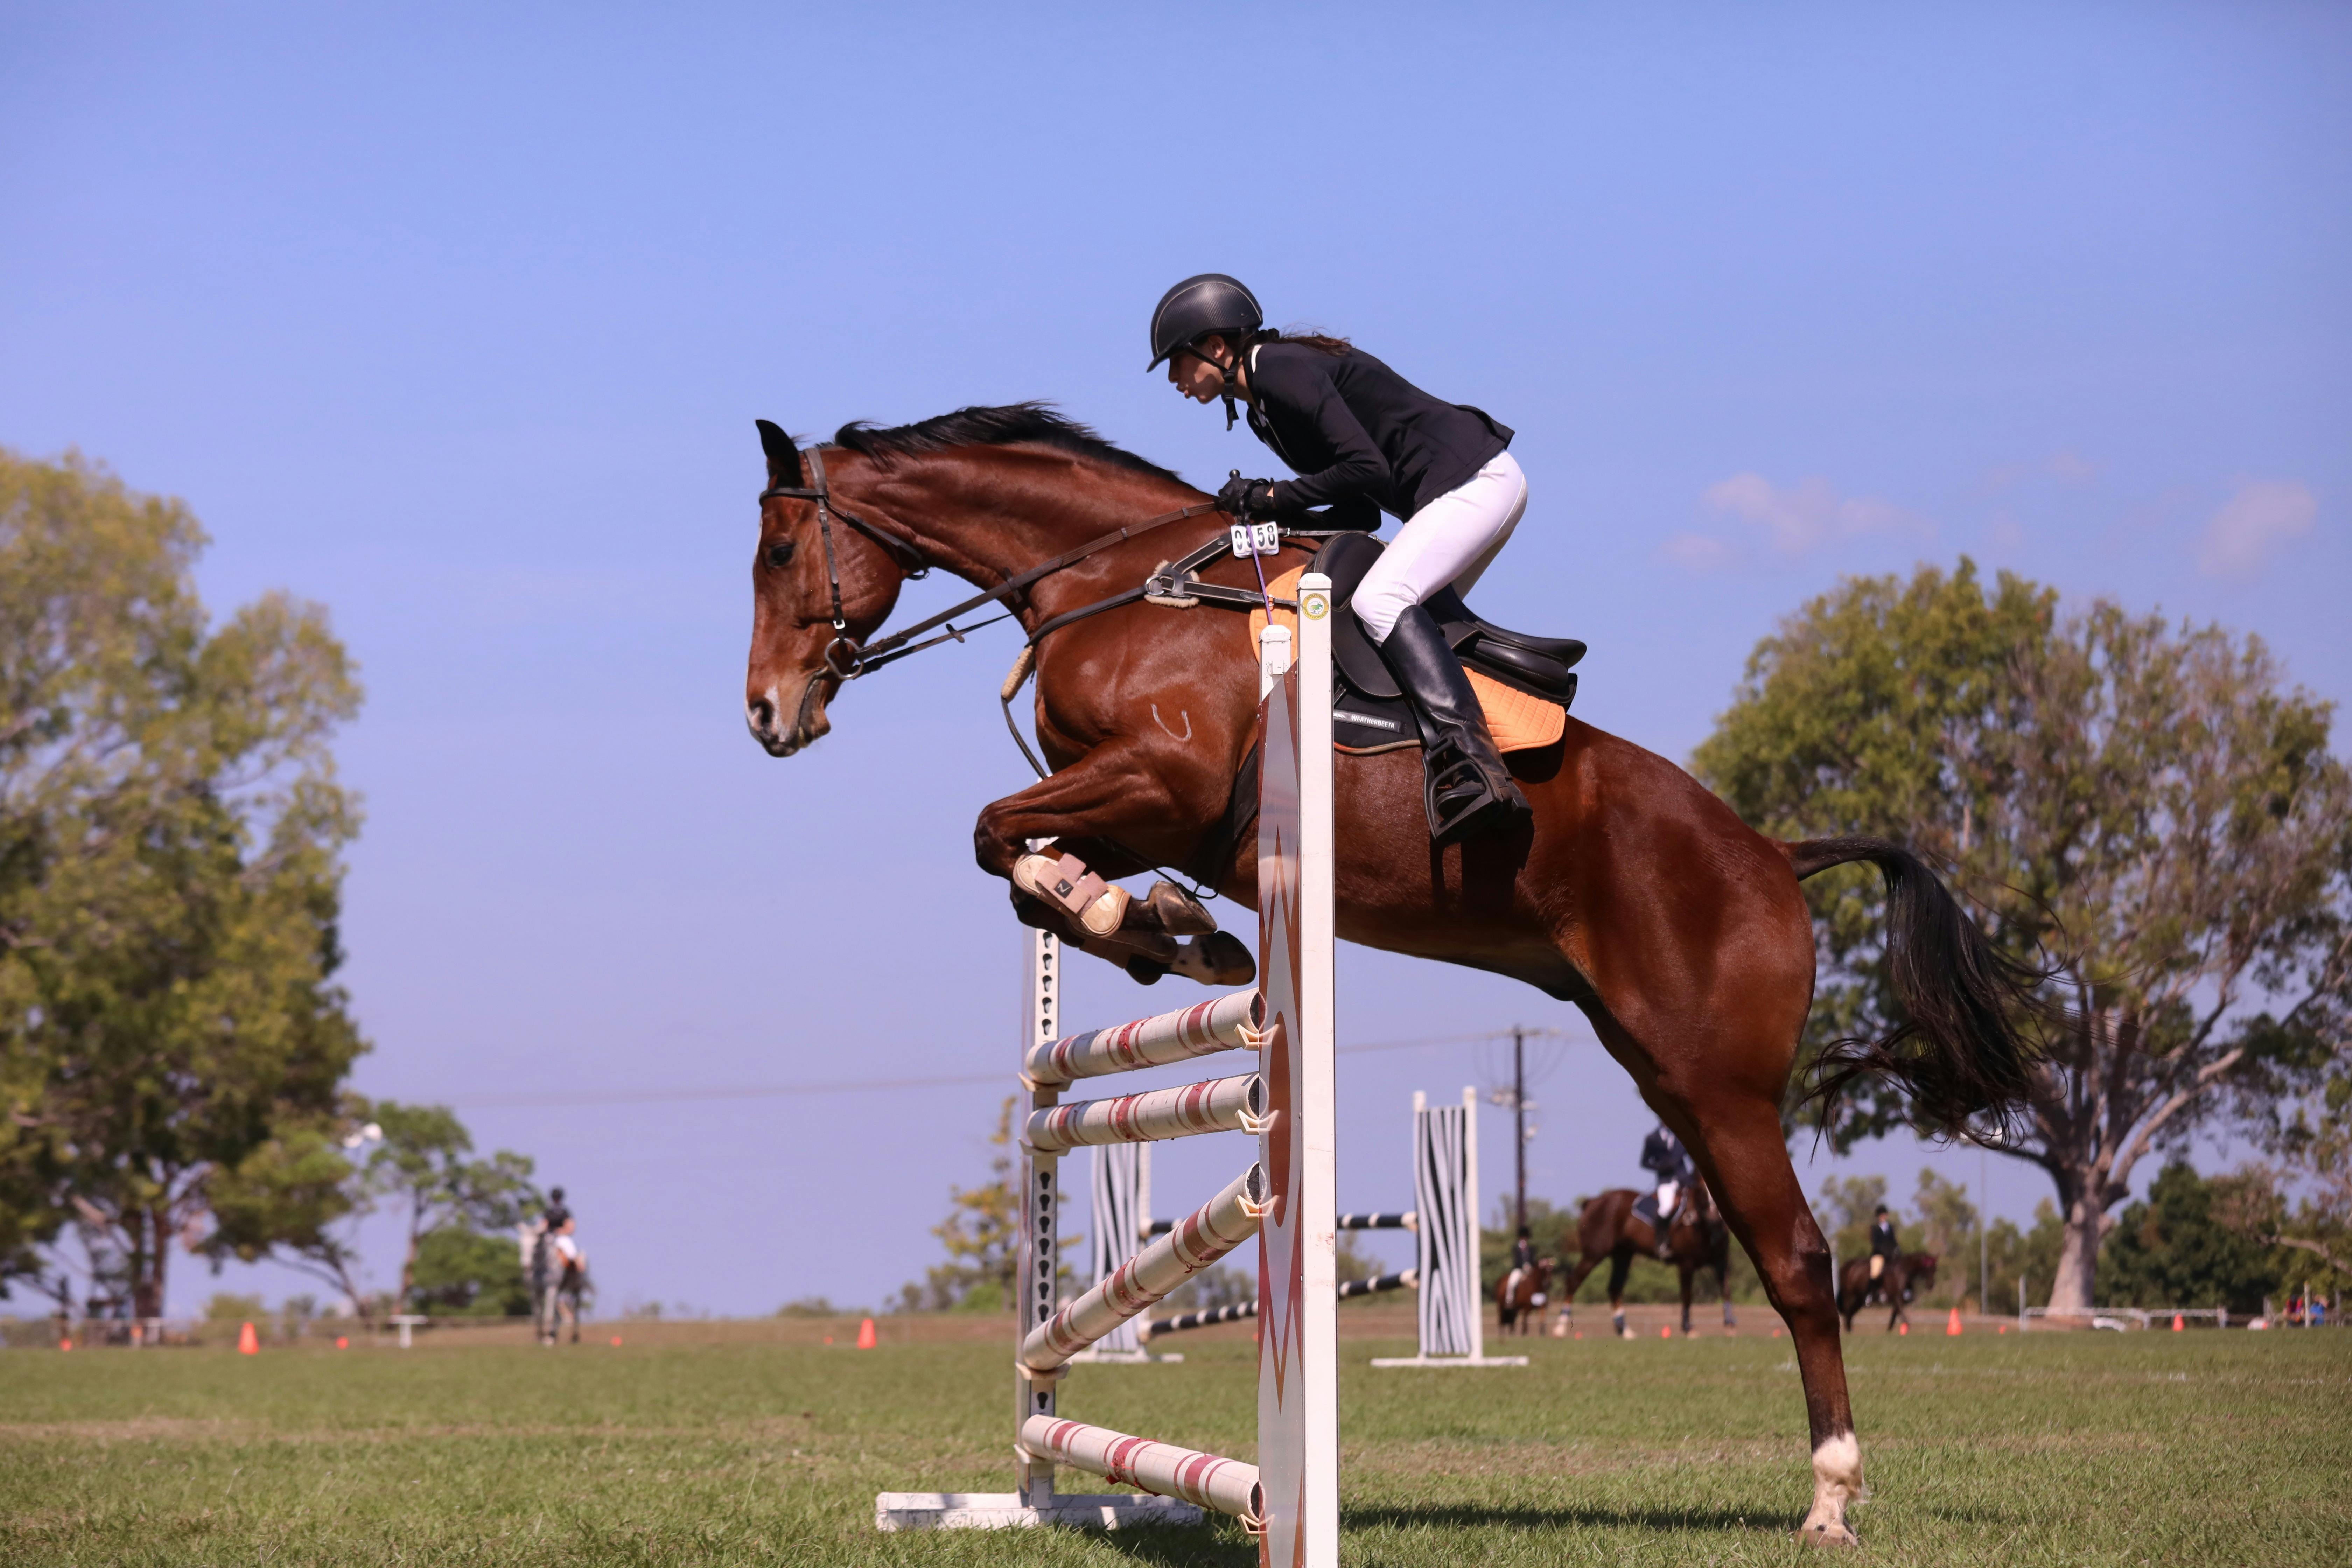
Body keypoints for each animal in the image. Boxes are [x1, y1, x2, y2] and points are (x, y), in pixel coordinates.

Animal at [1496, 1256, 1554, 1335]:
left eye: (1552, 1270)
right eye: (1544, 1271)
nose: (1549, 1284)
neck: (1535, 1286)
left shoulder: (1542, 1305)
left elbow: (1542, 1317)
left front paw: (1542, 1331)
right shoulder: (1527, 1307)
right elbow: (1525, 1319)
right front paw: (1524, 1333)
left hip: (1515, 1307)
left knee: (1513, 1318)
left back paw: (1512, 1332)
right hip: (1501, 1305)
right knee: (1502, 1318)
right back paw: (1503, 1332)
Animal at [1551, 1185, 1738, 1340]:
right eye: (1700, 1191)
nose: (1716, 1219)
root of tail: (1592, 1202)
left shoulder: (1721, 1263)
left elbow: (1726, 1291)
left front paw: (1730, 1326)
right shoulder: (1686, 1264)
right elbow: (1687, 1296)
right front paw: (1689, 1329)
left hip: (1623, 1255)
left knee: (1615, 1287)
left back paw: (1624, 1330)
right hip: (1594, 1254)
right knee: (1574, 1280)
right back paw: (1561, 1327)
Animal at [1838, 1251, 1939, 1333]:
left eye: (1935, 1269)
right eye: (1928, 1268)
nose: (1931, 1285)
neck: (1903, 1272)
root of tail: (1846, 1266)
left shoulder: (1899, 1299)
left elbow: (1895, 1315)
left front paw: (1890, 1331)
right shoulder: (1897, 1298)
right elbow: (1902, 1314)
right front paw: (1907, 1329)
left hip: (1859, 1299)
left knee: (1851, 1313)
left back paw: (1850, 1330)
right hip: (1849, 1295)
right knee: (1847, 1310)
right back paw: (1848, 1331)